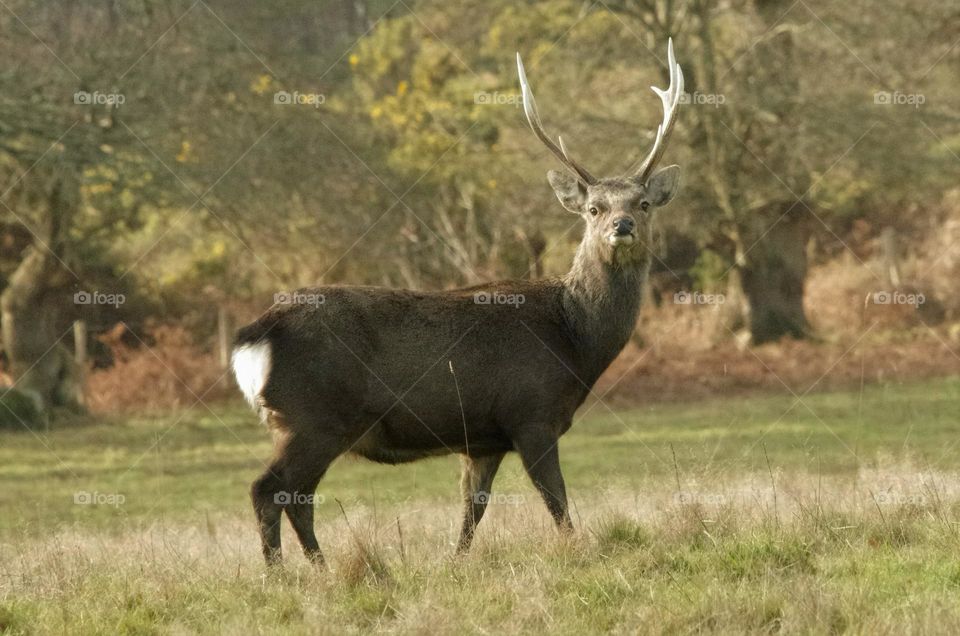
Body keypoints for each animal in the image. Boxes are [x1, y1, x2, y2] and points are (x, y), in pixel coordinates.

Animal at [232, 40, 684, 566]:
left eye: (643, 204)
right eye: (594, 208)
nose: (622, 226)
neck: (576, 340)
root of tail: (254, 337)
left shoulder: (482, 440)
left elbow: (472, 510)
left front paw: (455, 561)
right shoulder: (531, 413)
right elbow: (558, 502)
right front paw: (580, 553)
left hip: (307, 423)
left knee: (295, 497)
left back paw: (320, 568)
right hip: (313, 416)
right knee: (269, 490)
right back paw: (283, 573)